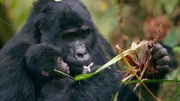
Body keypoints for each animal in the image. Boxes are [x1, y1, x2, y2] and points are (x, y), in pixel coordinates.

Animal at [0, 0, 174, 100]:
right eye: (69, 36)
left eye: (84, 34)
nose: (81, 53)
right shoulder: (11, 61)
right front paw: (100, 79)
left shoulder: (100, 43)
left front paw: (153, 64)